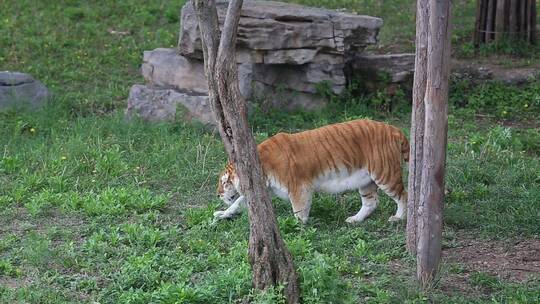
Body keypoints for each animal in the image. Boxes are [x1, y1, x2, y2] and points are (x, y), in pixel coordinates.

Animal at [215, 119, 410, 223]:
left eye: (225, 182)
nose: (218, 194)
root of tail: (394, 129)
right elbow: (237, 202)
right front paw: (222, 214)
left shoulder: (299, 187)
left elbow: (299, 210)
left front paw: (296, 228)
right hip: (366, 181)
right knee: (371, 203)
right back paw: (354, 219)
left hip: (385, 174)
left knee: (404, 195)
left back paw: (398, 217)